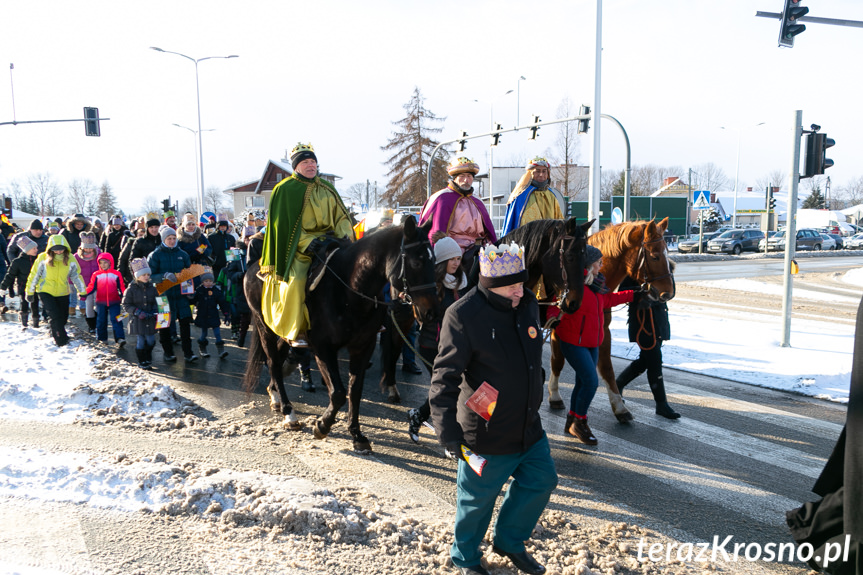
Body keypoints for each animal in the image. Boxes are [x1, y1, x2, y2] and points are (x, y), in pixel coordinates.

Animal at [241, 217, 436, 454]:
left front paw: (357, 435)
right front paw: (322, 426)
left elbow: (355, 391)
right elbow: (338, 393)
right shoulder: (323, 348)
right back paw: (289, 413)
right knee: (273, 362)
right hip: (264, 327)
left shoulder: (363, 346)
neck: (349, 290)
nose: (430, 312)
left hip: (283, 331)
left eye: (434, 261)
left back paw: (275, 394)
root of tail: (254, 266)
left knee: (277, 358)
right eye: (416, 263)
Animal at [552, 217, 680, 424]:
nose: (668, 293)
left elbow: (606, 368)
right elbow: (557, 361)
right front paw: (554, 395)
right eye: (654, 256)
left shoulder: (602, 331)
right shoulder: (557, 329)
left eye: (668, 253)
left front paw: (619, 407)